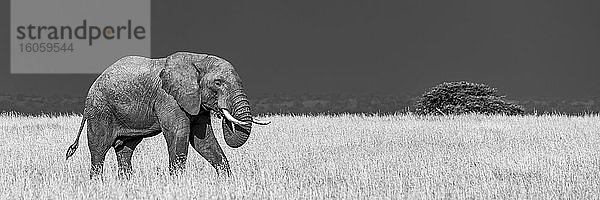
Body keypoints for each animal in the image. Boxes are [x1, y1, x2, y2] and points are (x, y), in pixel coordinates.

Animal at [65, 51, 270, 178]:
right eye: (218, 83)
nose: (221, 111)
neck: (198, 59)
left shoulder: (194, 101)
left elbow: (204, 141)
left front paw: (226, 181)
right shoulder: (168, 98)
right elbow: (179, 134)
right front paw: (177, 184)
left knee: (125, 150)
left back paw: (126, 184)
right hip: (99, 110)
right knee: (99, 149)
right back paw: (97, 184)